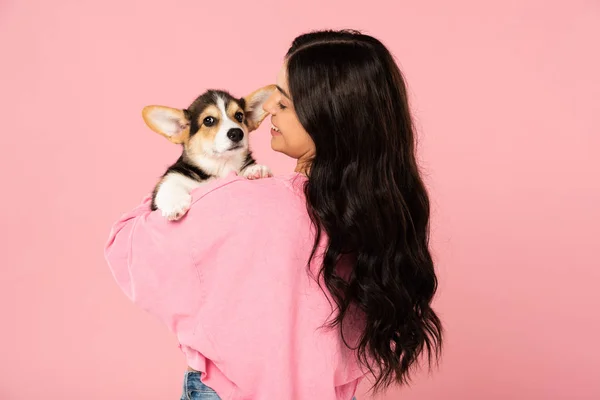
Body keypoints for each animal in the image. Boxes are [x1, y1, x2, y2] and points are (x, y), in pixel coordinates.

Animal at [142, 85, 276, 220]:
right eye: (208, 120)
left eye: (239, 116)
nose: (237, 133)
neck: (220, 166)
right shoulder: (174, 176)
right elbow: (168, 185)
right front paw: (174, 204)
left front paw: (255, 169)